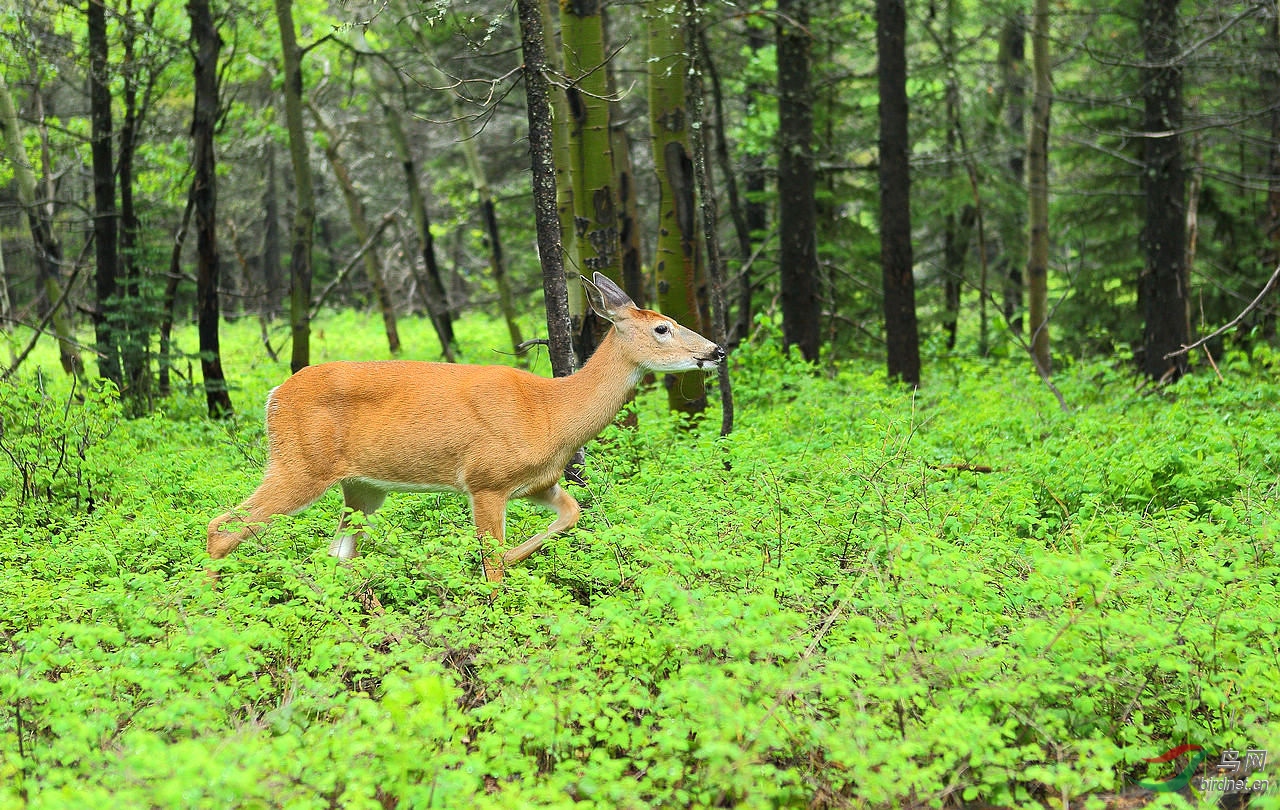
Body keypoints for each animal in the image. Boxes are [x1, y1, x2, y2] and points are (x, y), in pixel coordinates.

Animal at [211, 271, 732, 580]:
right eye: (662, 327)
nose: (716, 350)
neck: (552, 413)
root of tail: (273, 396)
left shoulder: (537, 481)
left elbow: (572, 513)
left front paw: (514, 560)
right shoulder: (486, 479)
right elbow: (493, 561)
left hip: (362, 486)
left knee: (338, 552)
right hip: (300, 464)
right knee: (222, 526)